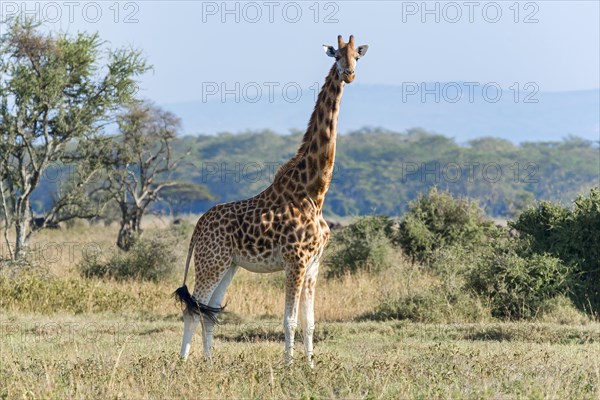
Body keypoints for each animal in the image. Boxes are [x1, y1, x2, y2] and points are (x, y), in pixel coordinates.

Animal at [176, 34, 368, 366]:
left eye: (357, 56)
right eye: (336, 56)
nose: (349, 74)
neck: (314, 193)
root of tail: (198, 226)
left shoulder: (314, 265)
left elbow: (309, 321)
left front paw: (310, 365)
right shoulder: (295, 261)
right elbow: (289, 320)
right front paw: (289, 365)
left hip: (229, 265)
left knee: (209, 311)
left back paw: (210, 362)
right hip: (211, 262)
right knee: (194, 308)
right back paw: (183, 362)